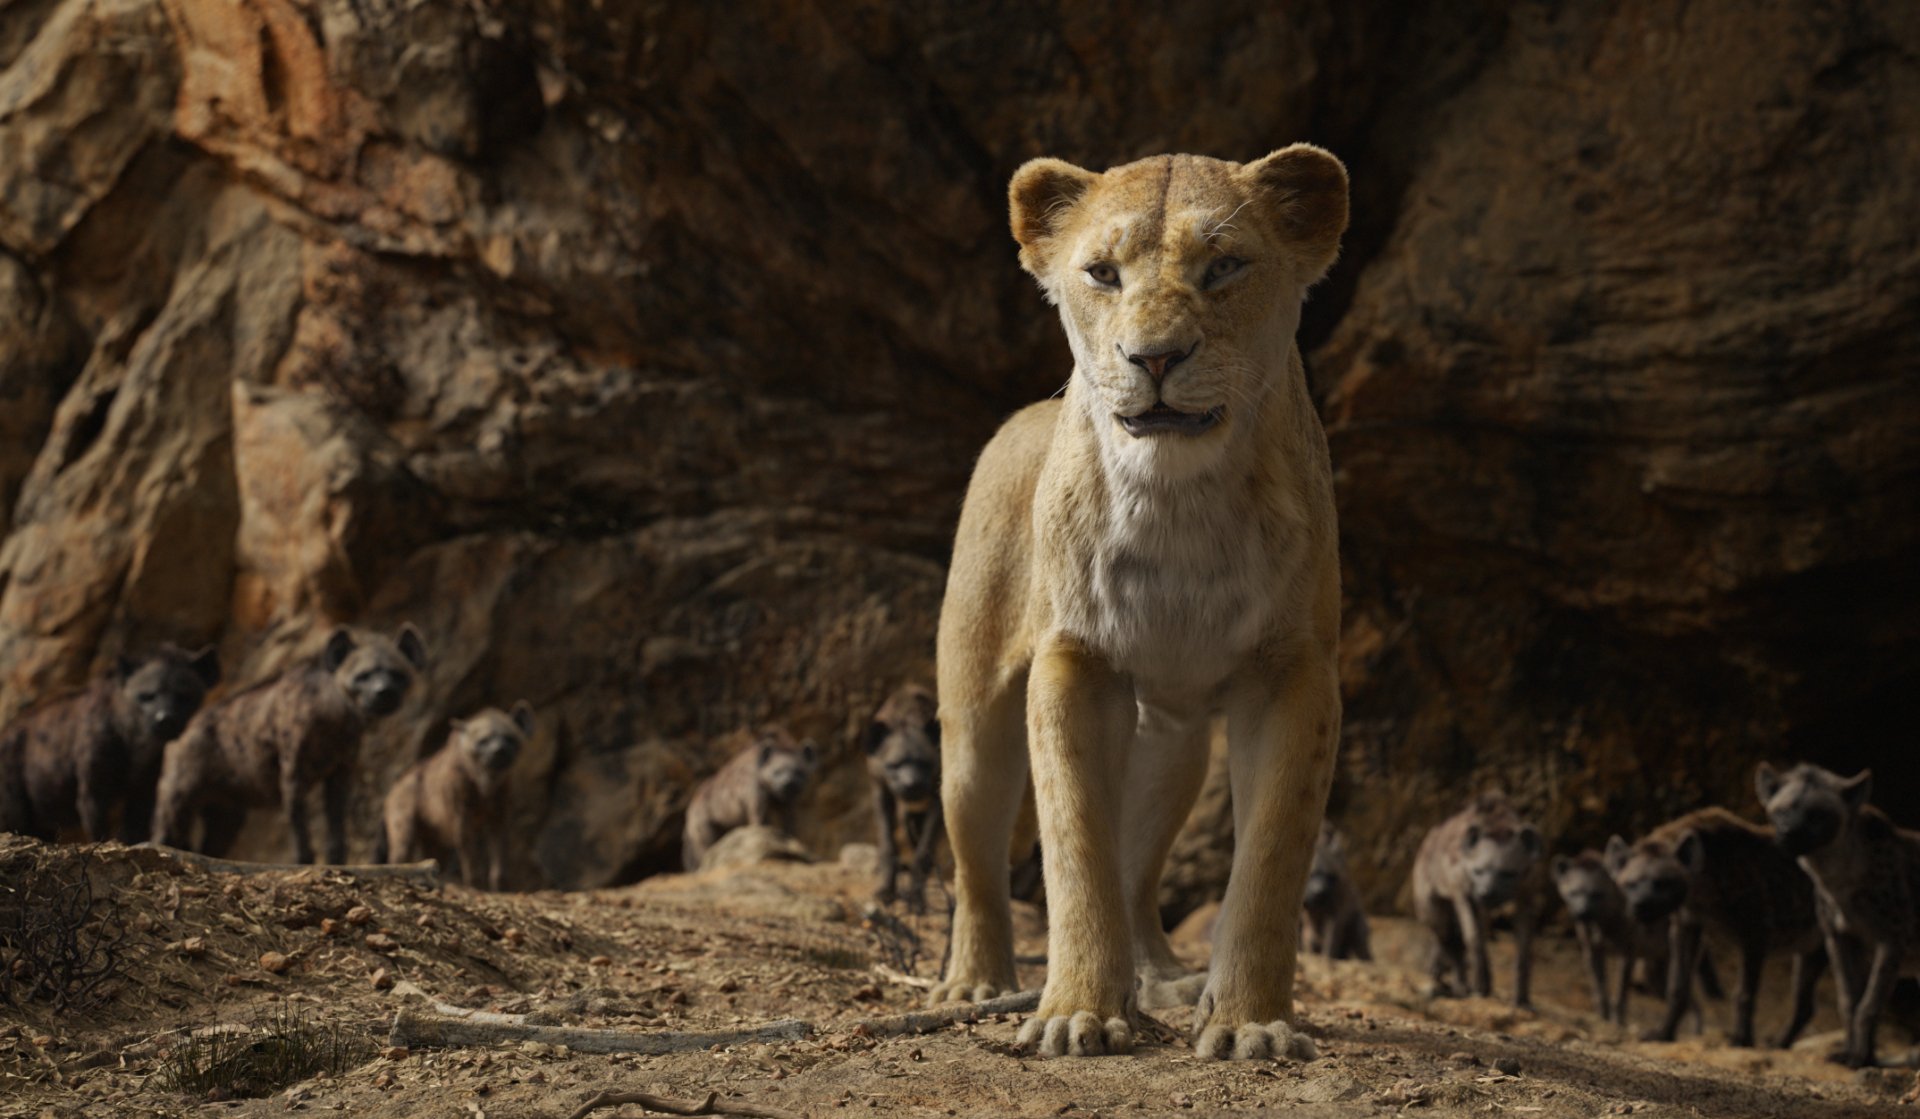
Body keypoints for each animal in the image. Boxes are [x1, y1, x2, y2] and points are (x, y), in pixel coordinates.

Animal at [931, 147, 1348, 1061]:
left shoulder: (1294, 671)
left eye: (1224, 266)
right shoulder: (1075, 661)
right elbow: (1073, 846)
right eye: (1101, 273)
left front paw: (1250, 1022)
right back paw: (976, 982)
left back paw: (1159, 978)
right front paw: (1077, 1011)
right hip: (974, 719)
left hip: (1177, 741)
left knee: (1138, 867)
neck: (1176, 497)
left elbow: (1271, 858)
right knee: (977, 859)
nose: (1154, 357)